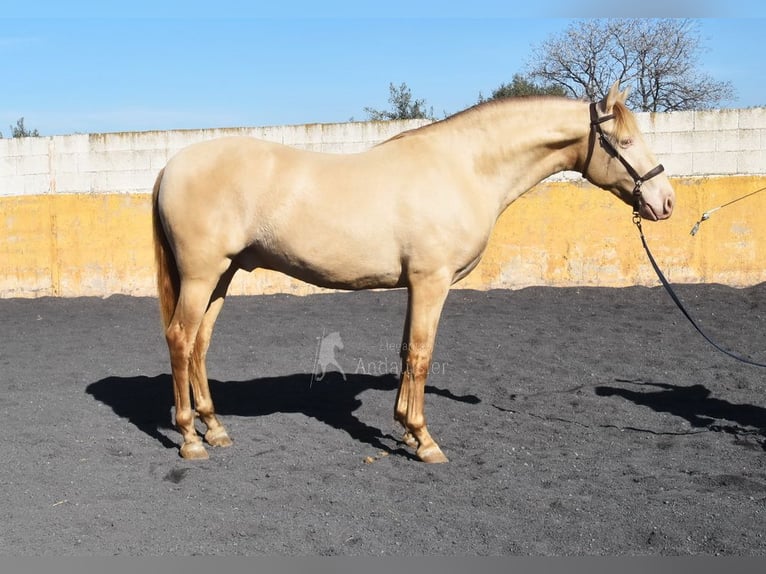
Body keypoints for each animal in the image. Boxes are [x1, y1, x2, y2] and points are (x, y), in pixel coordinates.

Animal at [153, 83, 676, 464]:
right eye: (625, 141)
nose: (666, 202)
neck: (464, 168)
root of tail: (171, 166)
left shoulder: (416, 285)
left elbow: (407, 352)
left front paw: (404, 429)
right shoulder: (431, 281)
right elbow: (423, 355)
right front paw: (425, 442)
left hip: (222, 276)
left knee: (199, 343)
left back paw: (215, 429)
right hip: (201, 276)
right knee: (180, 338)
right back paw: (190, 438)